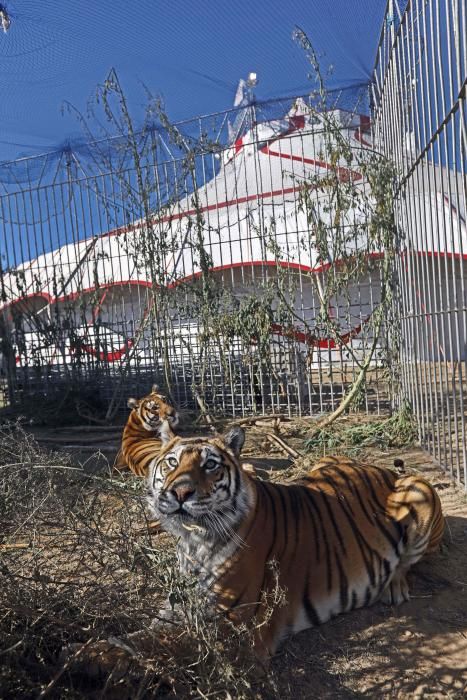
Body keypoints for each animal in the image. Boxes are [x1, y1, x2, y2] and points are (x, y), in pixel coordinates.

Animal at [149, 424, 446, 660]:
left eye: (210, 464)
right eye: (172, 462)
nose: (180, 492)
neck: (193, 539)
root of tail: (382, 469)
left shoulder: (235, 623)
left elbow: (164, 645)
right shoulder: (180, 601)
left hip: (420, 491)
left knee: (405, 563)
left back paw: (394, 587)